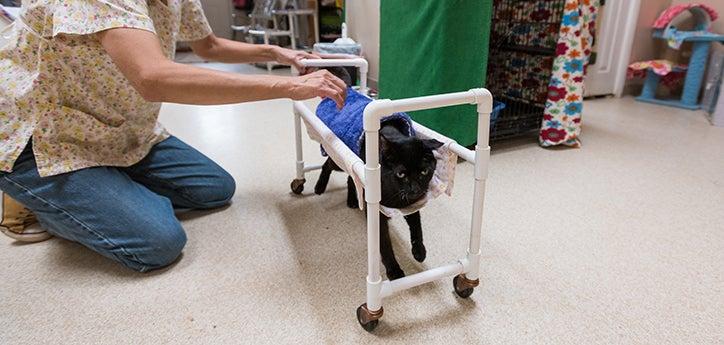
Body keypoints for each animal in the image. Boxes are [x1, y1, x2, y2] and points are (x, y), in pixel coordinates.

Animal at [312, 123, 442, 280]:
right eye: (401, 174)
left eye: (424, 171)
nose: (415, 189)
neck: (395, 195)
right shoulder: (378, 214)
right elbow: (384, 243)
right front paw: (394, 271)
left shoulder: (411, 205)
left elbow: (417, 227)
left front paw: (419, 251)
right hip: (340, 160)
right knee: (328, 165)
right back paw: (319, 187)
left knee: (351, 178)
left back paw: (352, 200)